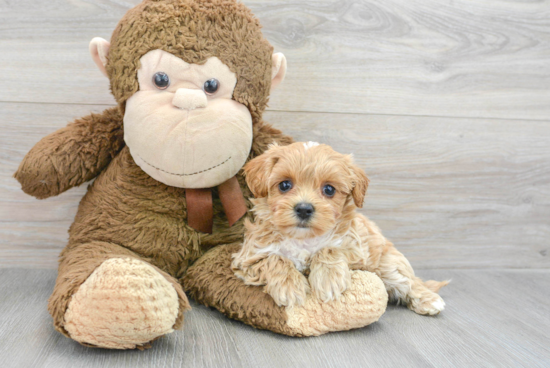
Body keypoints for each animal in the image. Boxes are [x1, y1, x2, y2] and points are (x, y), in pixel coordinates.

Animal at [233, 142, 448, 314]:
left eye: (329, 189)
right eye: (284, 185)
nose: (304, 209)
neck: (303, 239)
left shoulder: (356, 249)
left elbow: (329, 249)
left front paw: (328, 280)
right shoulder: (247, 258)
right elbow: (274, 258)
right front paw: (289, 287)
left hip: (388, 264)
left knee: (408, 281)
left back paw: (430, 301)